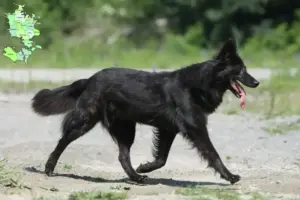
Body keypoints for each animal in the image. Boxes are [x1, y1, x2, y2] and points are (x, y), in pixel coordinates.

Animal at [31, 38, 258, 184]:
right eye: (240, 70)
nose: (257, 82)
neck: (200, 83)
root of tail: (90, 79)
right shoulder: (196, 129)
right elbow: (213, 153)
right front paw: (230, 177)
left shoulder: (168, 130)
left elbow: (162, 158)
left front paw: (145, 167)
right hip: (85, 121)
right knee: (62, 141)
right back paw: (49, 168)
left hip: (125, 129)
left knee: (123, 156)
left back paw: (136, 177)